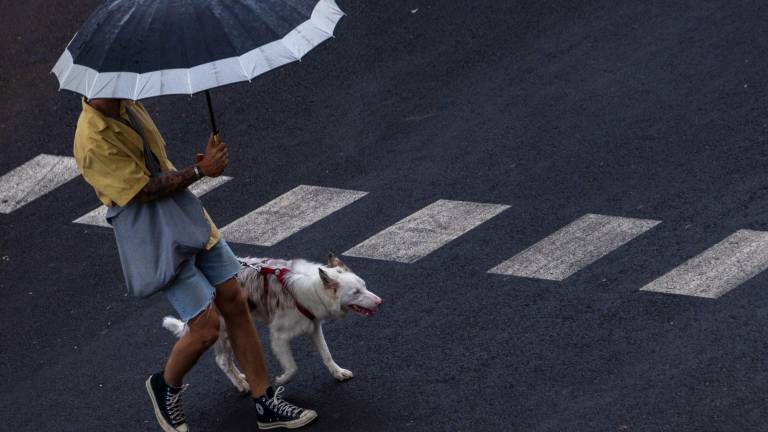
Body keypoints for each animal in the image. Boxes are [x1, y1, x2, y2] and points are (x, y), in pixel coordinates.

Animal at [163, 251, 380, 390]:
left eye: (364, 285)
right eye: (356, 292)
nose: (380, 301)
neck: (312, 287)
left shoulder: (313, 327)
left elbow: (326, 354)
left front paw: (338, 373)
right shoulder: (278, 336)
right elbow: (292, 367)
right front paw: (281, 380)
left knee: (225, 360)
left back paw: (241, 377)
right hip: (223, 331)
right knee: (222, 361)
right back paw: (242, 384)